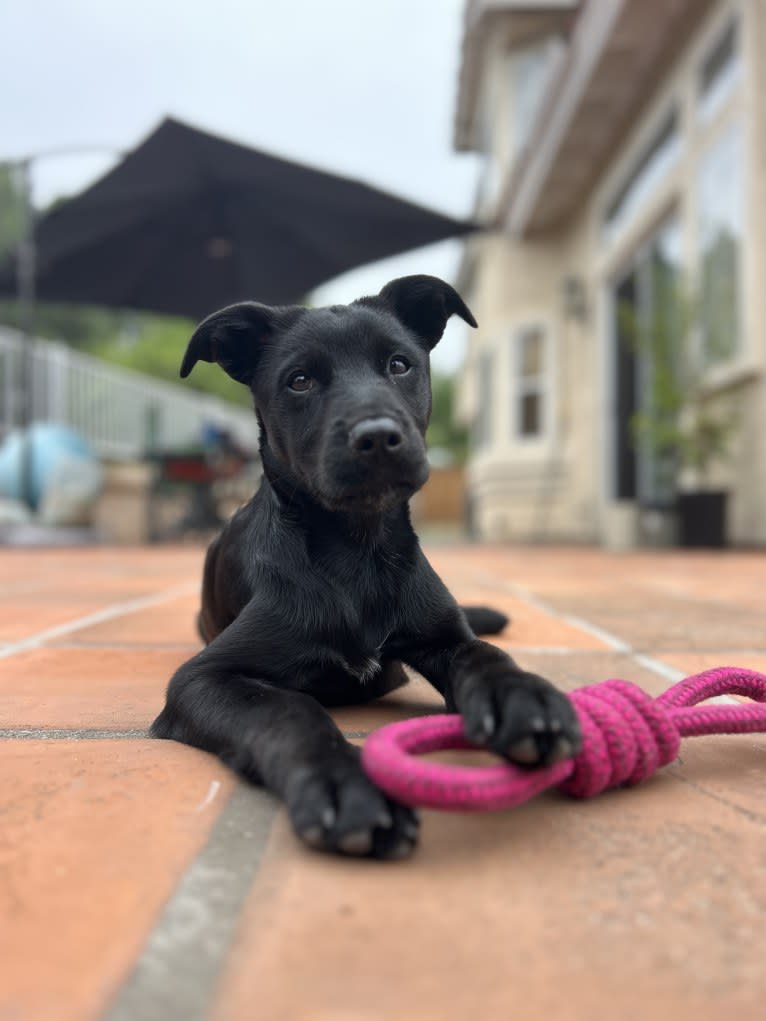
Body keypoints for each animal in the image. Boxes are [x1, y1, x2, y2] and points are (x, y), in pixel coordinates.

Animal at [151, 275, 580, 857]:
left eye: (399, 364)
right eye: (300, 380)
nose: (377, 436)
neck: (357, 554)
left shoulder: (445, 636)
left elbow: (485, 654)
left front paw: (524, 695)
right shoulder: (202, 677)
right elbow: (288, 709)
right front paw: (341, 781)